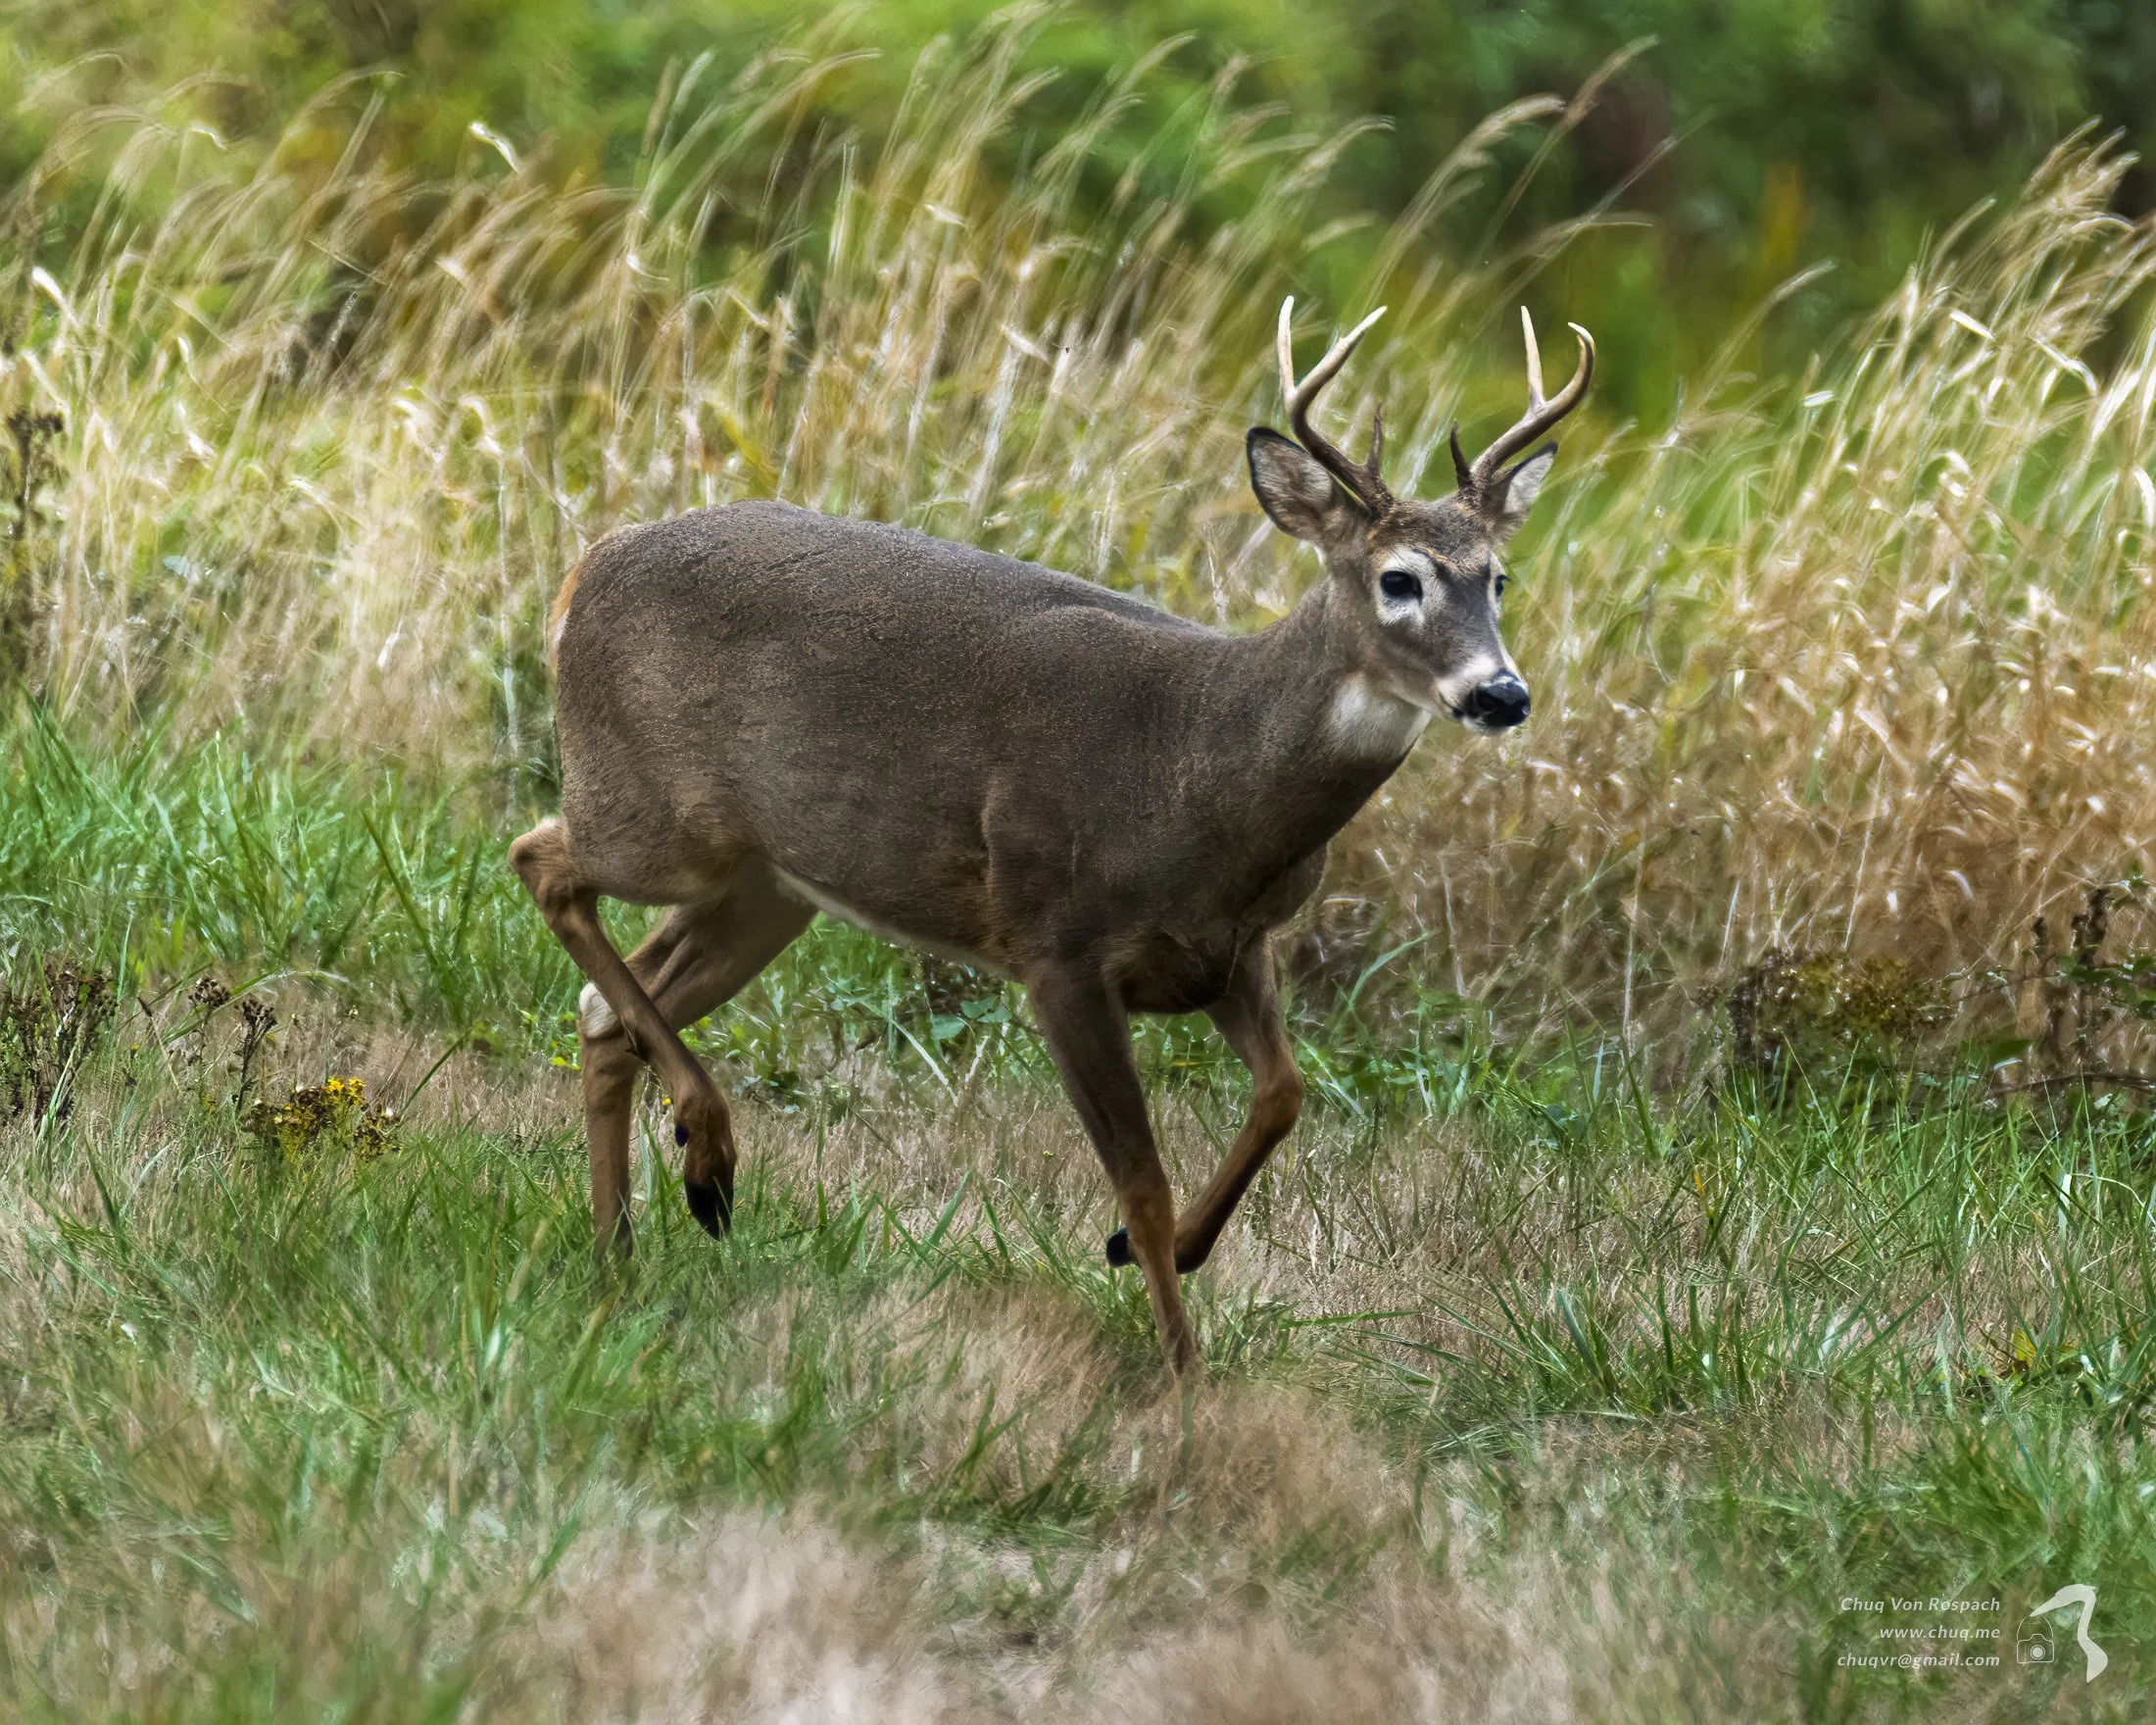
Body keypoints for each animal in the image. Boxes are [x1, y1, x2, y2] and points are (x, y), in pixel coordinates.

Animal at [511, 299, 1593, 1374]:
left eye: (1498, 578)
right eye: (1398, 578)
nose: (1501, 693)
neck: (1200, 773)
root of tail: (584, 568)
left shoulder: (1233, 948)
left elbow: (1283, 1095)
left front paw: (1174, 1255)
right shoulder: (1056, 943)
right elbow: (1143, 1180)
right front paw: (1182, 1370)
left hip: (766, 884)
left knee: (606, 1009)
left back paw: (622, 1250)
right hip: (656, 815)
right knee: (541, 861)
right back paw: (704, 1156)